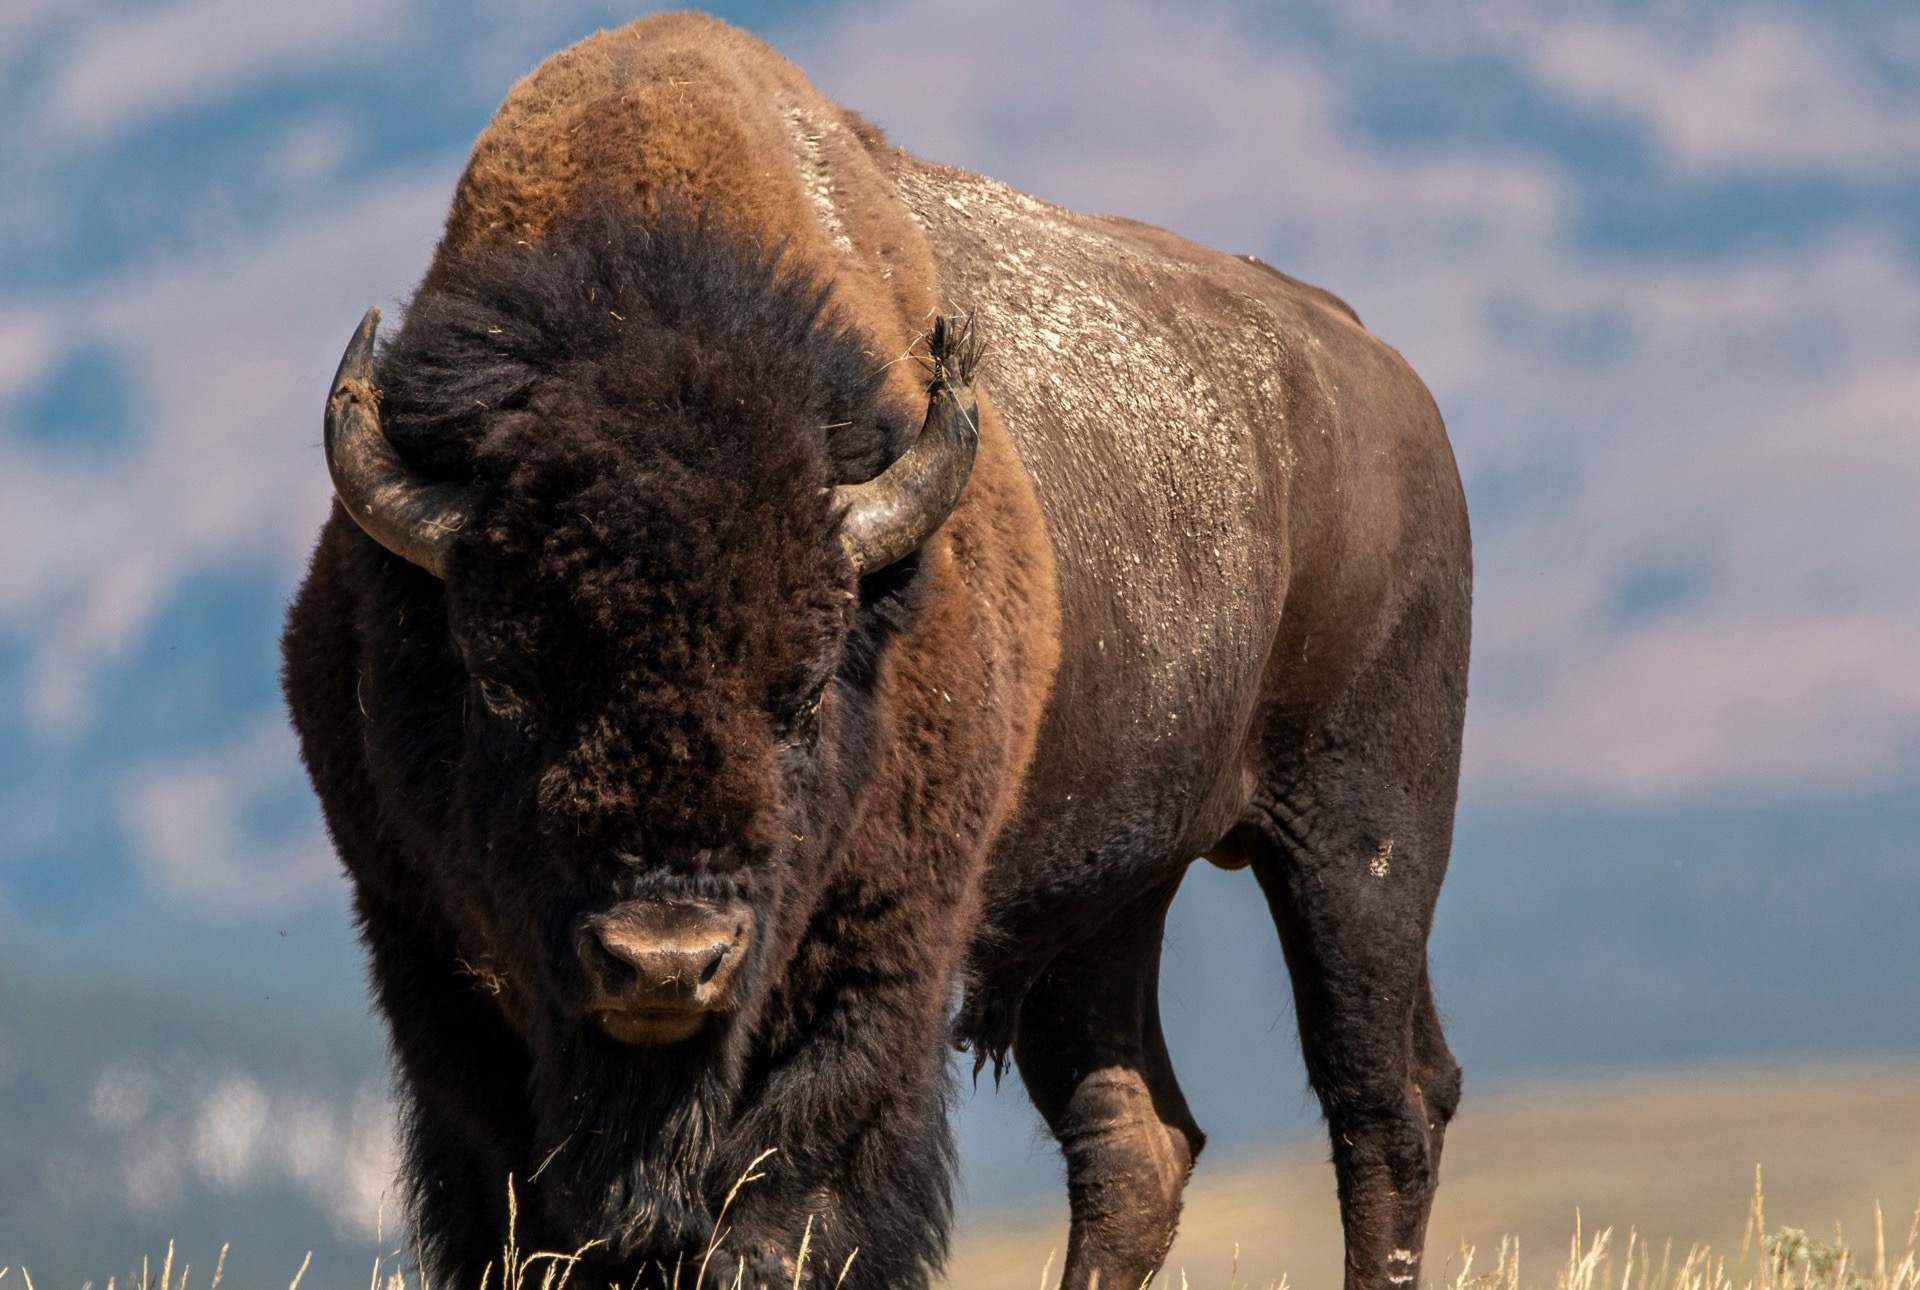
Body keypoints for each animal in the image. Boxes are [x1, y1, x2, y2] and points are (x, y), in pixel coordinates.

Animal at [282, 13, 1470, 1290]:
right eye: (503, 684)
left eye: (801, 692)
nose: (667, 961)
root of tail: (1378, 370)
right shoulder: (428, 951)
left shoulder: (879, 960)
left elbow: (785, 1207)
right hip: (1109, 902)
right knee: (1136, 1139)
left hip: (1359, 842)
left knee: (1385, 1106)